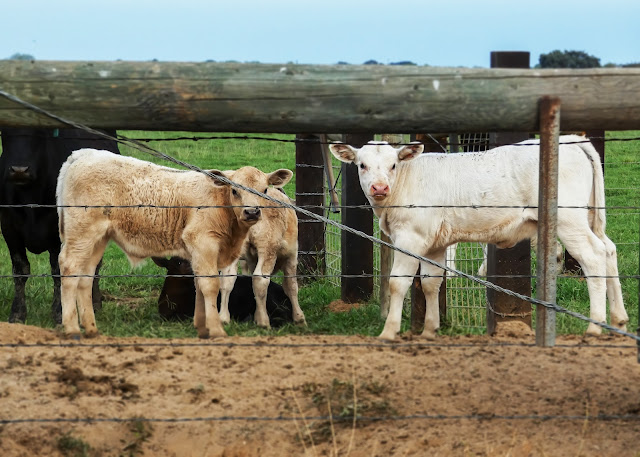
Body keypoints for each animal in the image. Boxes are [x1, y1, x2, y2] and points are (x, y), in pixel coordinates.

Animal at [0, 126, 120, 322]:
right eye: (5, 130)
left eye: (41, 132)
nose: (19, 170)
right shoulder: (9, 228)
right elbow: (20, 270)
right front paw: (17, 314)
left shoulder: (58, 232)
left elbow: (57, 271)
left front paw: (59, 313)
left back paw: (94, 303)